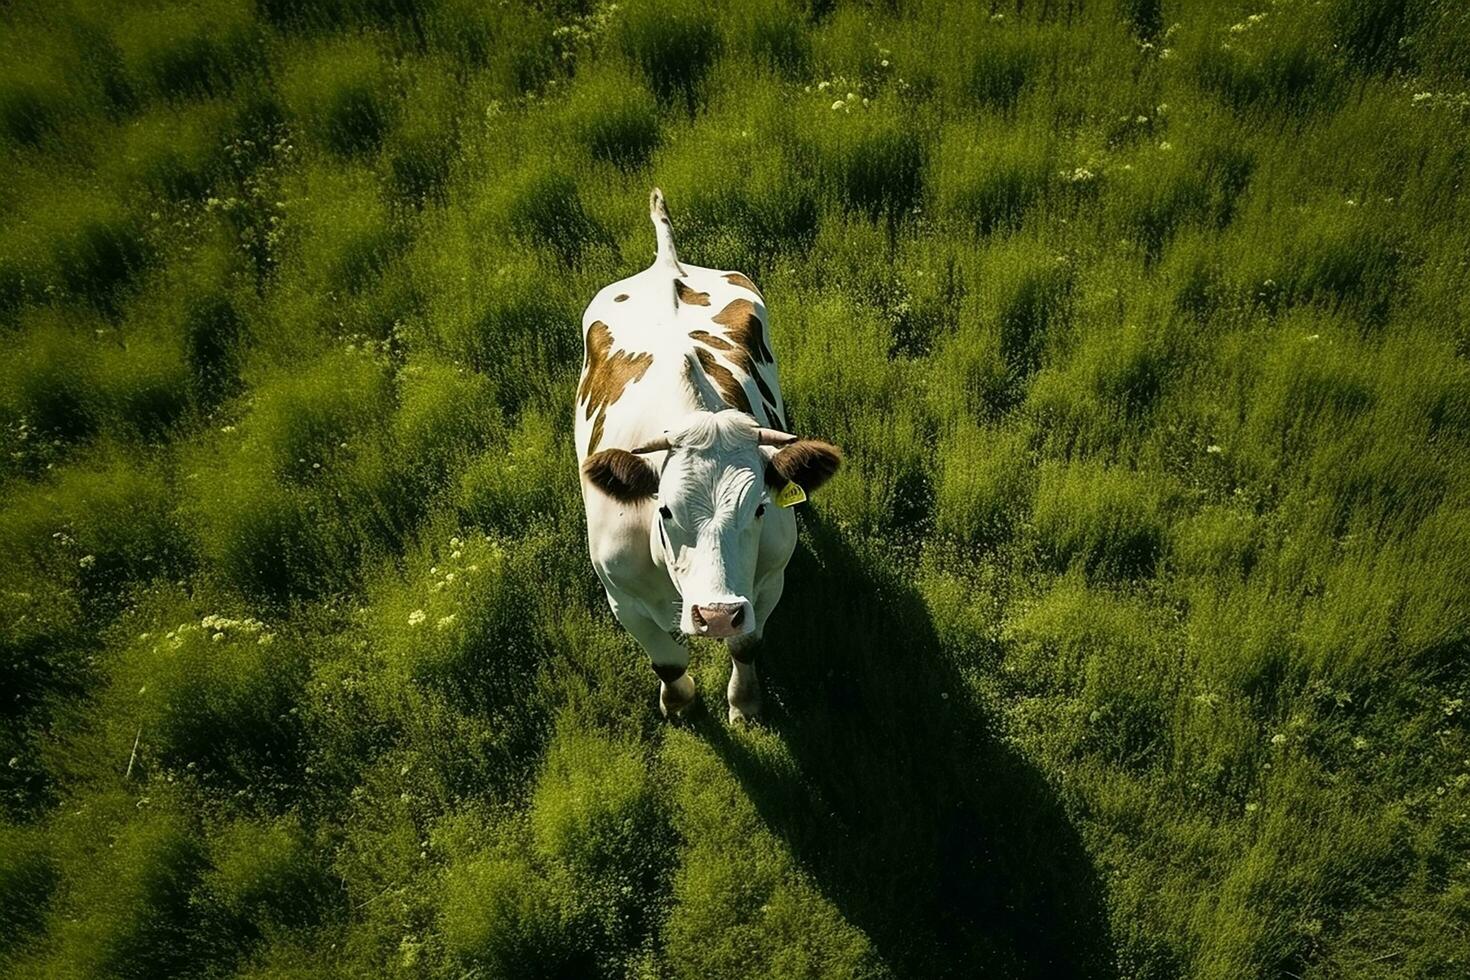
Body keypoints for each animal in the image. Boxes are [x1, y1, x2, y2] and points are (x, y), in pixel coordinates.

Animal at [579, 188, 846, 719]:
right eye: (663, 510)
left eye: (760, 508)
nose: (717, 615)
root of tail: (668, 264)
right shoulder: (621, 597)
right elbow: (666, 660)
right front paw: (679, 703)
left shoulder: (767, 583)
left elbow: (746, 645)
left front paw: (744, 703)